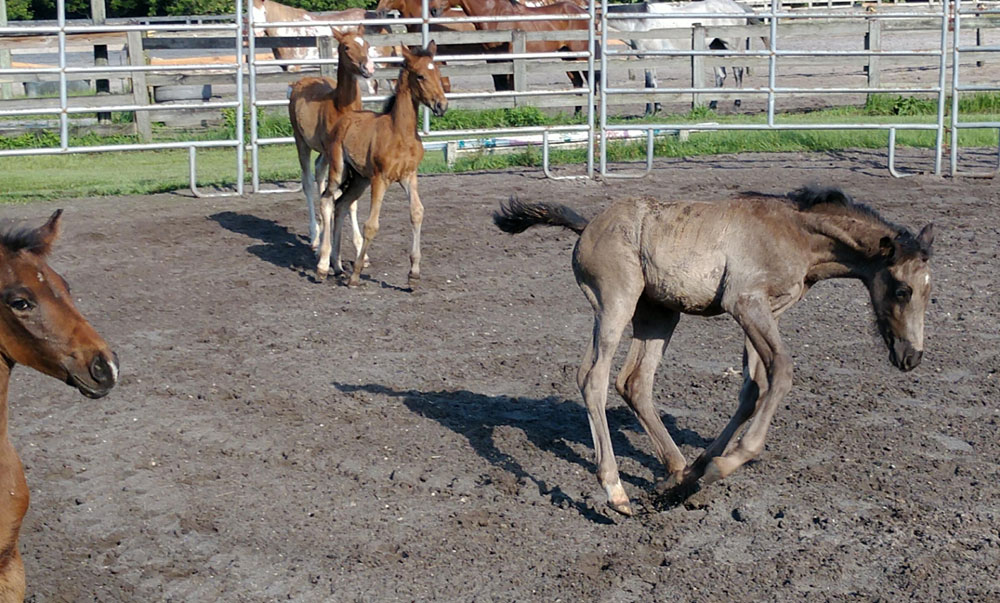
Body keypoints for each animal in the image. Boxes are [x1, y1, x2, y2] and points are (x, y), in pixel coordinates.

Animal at [318, 43, 448, 290]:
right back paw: (322, 266)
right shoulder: (381, 178)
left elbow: (417, 213)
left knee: (341, 204)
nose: (441, 105)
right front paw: (356, 275)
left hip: (360, 179)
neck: (400, 133)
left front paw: (413, 274)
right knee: (327, 200)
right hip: (339, 170)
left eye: (438, 72)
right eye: (420, 76)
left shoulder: (409, 176)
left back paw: (337, 266)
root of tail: (344, 120)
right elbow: (371, 225)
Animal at [498, 188, 936, 516]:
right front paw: (724, 463)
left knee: (634, 382)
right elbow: (782, 371)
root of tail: (588, 225)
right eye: (902, 290)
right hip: (615, 303)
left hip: (659, 314)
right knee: (594, 378)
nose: (911, 357)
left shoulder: (766, 311)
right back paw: (616, 491)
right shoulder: (745, 302)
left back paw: (676, 472)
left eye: (929, 292)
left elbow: (754, 389)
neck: (795, 232)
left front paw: (697, 470)